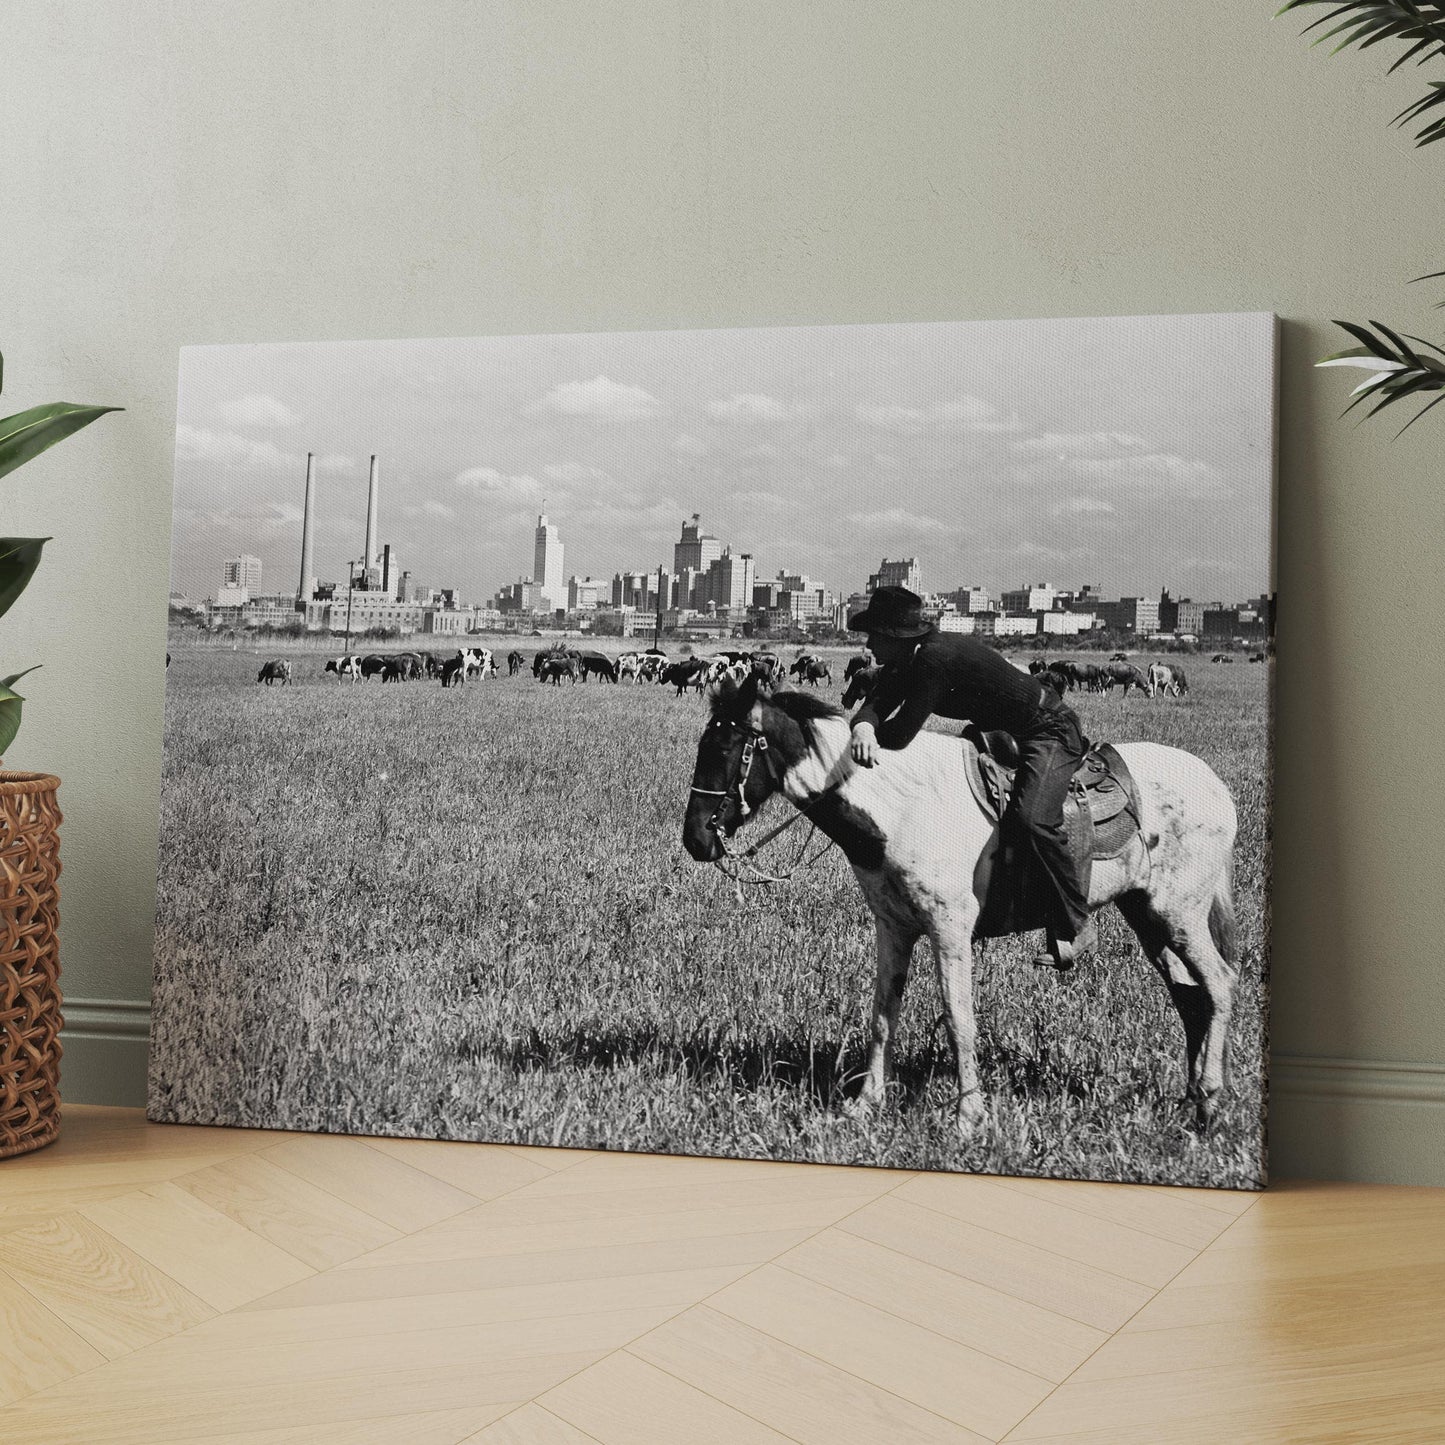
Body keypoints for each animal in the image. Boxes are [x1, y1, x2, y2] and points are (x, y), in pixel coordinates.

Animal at [682, 676, 1236, 1138]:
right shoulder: (894, 927)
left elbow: (958, 1018)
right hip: (1146, 915)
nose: (694, 839)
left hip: (1180, 914)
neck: (901, 807)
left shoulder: (949, 930)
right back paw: (1190, 1103)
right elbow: (883, 1014)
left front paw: (969, 1114)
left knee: (1220, 984)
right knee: (1190, 999)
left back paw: (1210, 1100)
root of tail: (1216, 786)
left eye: (726, 746)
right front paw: (865, 1103)